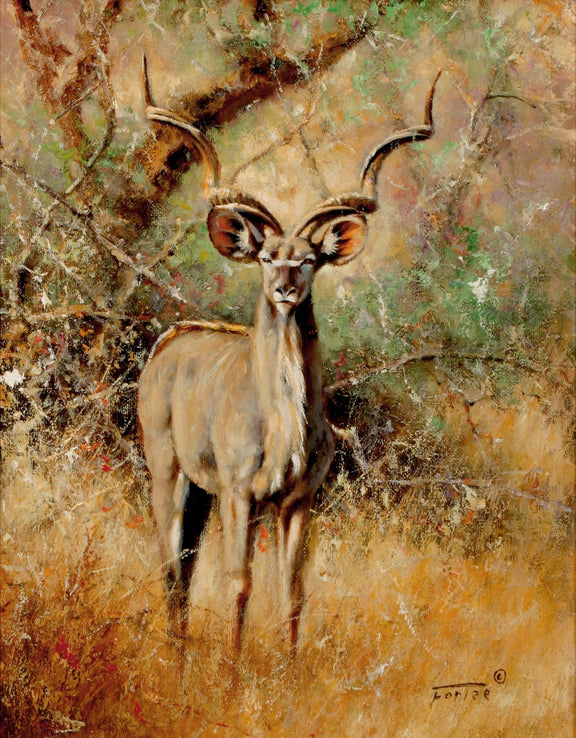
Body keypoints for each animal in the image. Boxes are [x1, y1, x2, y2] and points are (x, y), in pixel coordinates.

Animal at [137, 63, 440, 657]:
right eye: (265, 257)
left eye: (308, 260)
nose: (284, 289)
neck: (284, 426)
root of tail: (166, 345)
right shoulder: (239, 493)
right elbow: (238, 584)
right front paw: (231, 674)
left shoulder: (298, 502)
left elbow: (292, 593)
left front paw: (289, 672)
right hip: (169, 471)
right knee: (171, 569)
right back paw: (175, 659)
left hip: (201, 495)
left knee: (185, 567)